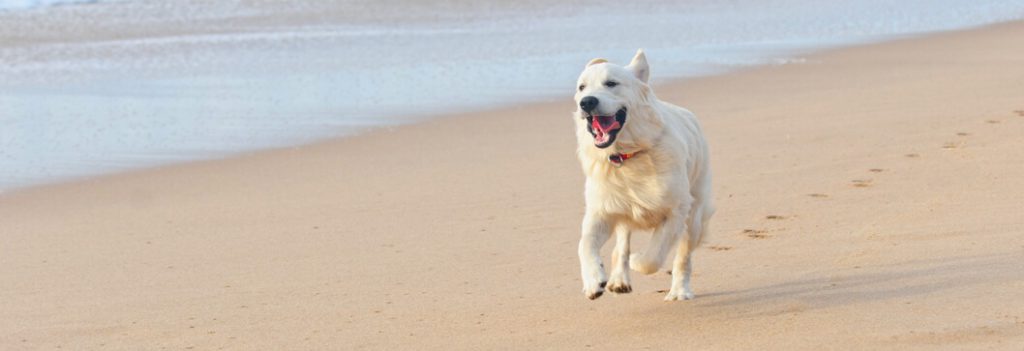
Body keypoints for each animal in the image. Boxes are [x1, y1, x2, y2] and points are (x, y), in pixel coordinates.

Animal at [573, 50, 716, 302]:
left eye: (611, 84)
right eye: (582, 87)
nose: (587, 102)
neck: (626, 156)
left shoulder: (676, 211)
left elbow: (654, 256)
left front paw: (638, 260)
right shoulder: (602, 211)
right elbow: (585, 244)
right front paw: (593, 281)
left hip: (695, 215)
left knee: (683, 257)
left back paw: (679, 291)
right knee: (621, 244)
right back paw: (619, 280)